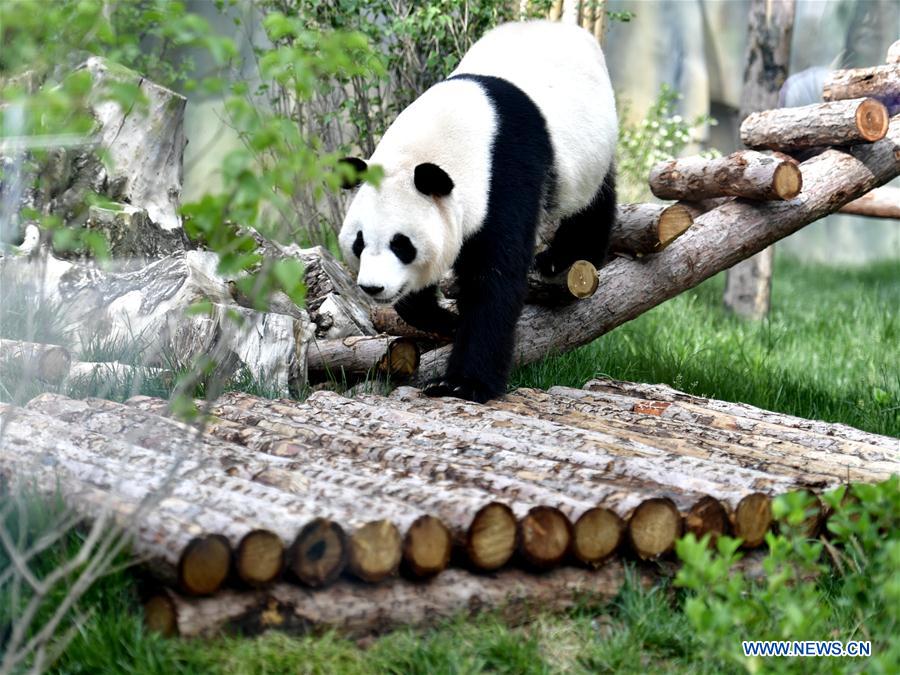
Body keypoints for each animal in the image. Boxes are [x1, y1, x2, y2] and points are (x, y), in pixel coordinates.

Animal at [338, 19, 620, 402]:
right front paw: (445, 320)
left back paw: (565, 256)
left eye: (401, 244)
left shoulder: (504, 175)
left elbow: (494, 280)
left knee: (592, 202)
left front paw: (461, 384)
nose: (372, 287)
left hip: (588, 147)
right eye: (359, 243)